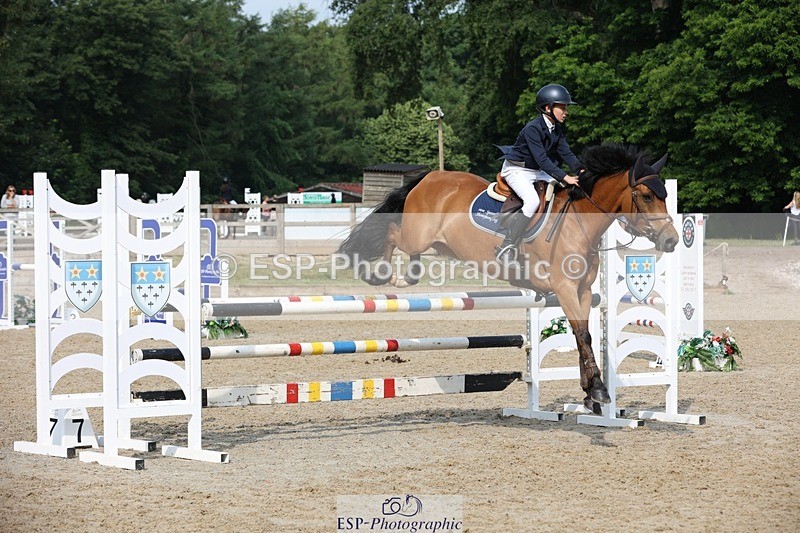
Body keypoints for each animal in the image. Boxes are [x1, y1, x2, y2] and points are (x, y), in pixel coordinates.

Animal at [337, 144, 679, 413]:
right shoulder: (565, 289)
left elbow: (584, 336)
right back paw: (377, 273)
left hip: (436, 244)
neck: (578, 222)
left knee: (412, 261)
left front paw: (590, 393)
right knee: (390, 233)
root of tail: (431, 177)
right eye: (646, 196)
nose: (672, 241)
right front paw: (597, 390)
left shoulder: (583, 291)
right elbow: (583, 335)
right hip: (415, 236)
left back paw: (403, 277)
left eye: (664, 196)